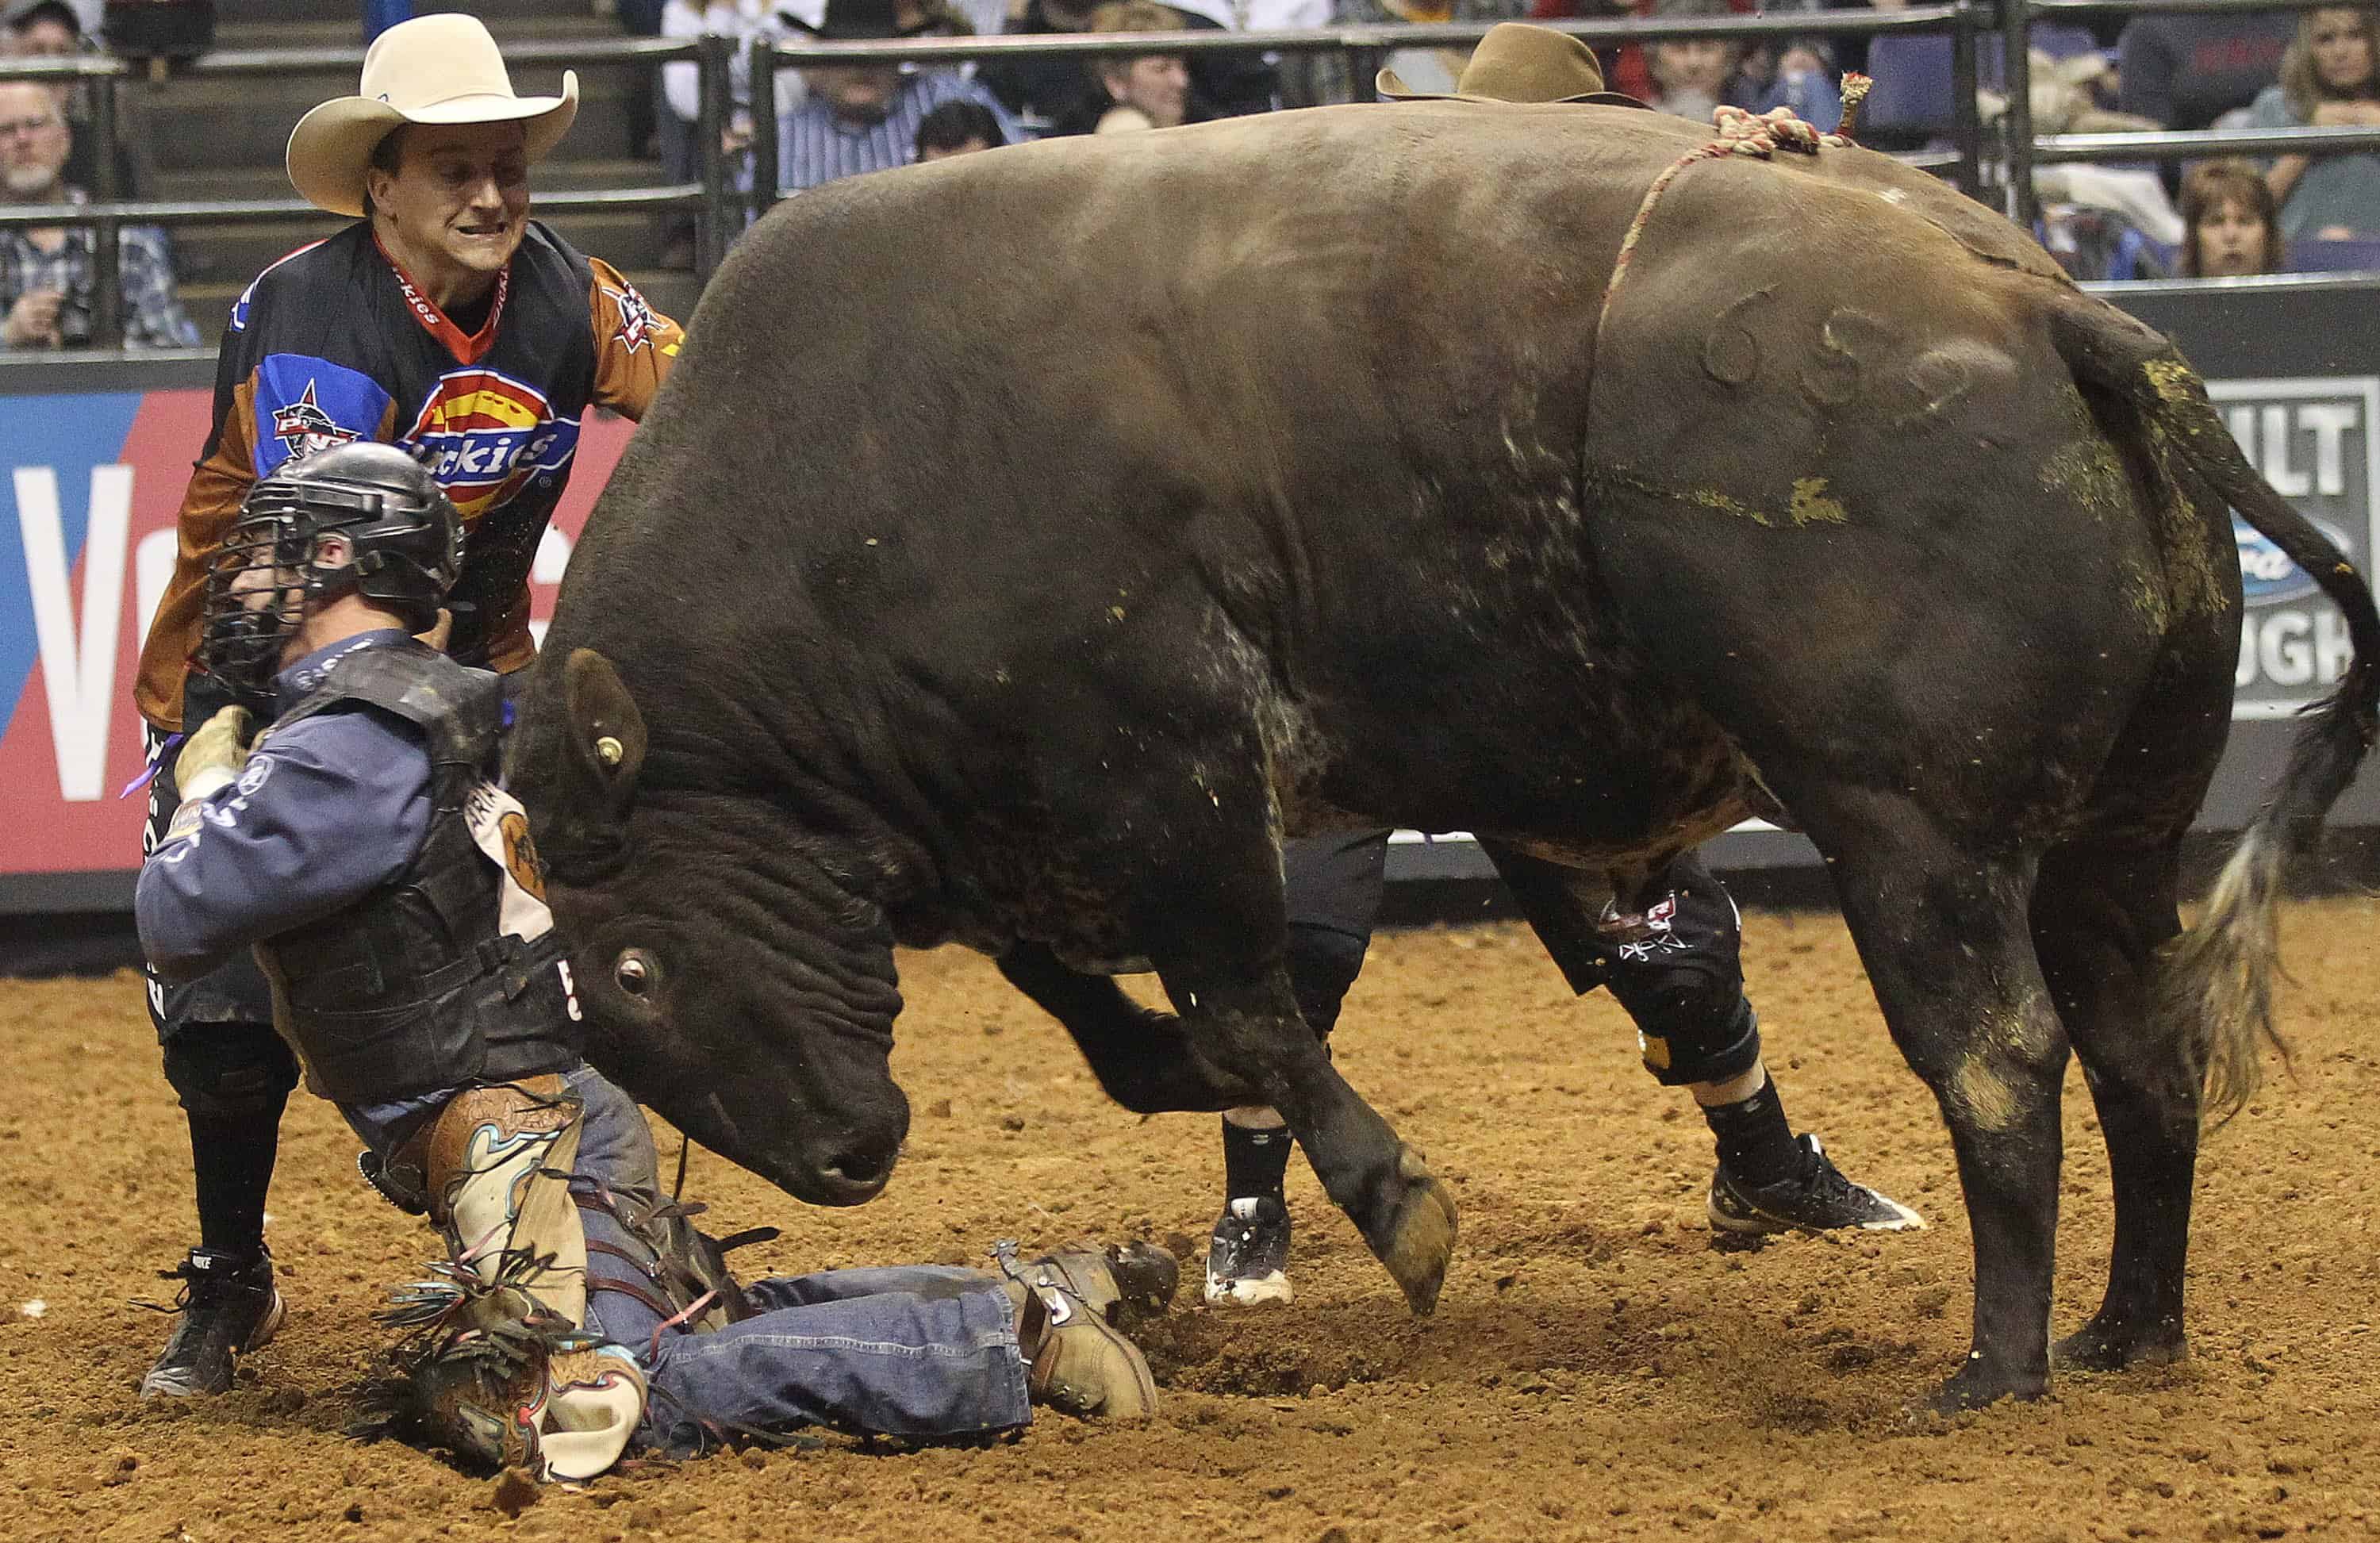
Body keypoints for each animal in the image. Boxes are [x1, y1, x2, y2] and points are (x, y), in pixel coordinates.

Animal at [507, 101, 2380, 1414]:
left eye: (635, 960)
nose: (846, 1159)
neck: (849, 478)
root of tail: (2053, 310)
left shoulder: (1160, 763)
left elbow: (1247, 1006)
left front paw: (1399, 1204)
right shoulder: (1008, 830)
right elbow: (1124, 1027)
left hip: (1917, 833)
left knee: (2001, 1061)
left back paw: (1997, 1368)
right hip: (2113, 833)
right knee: (2141, 1050)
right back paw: (2127, 1330)